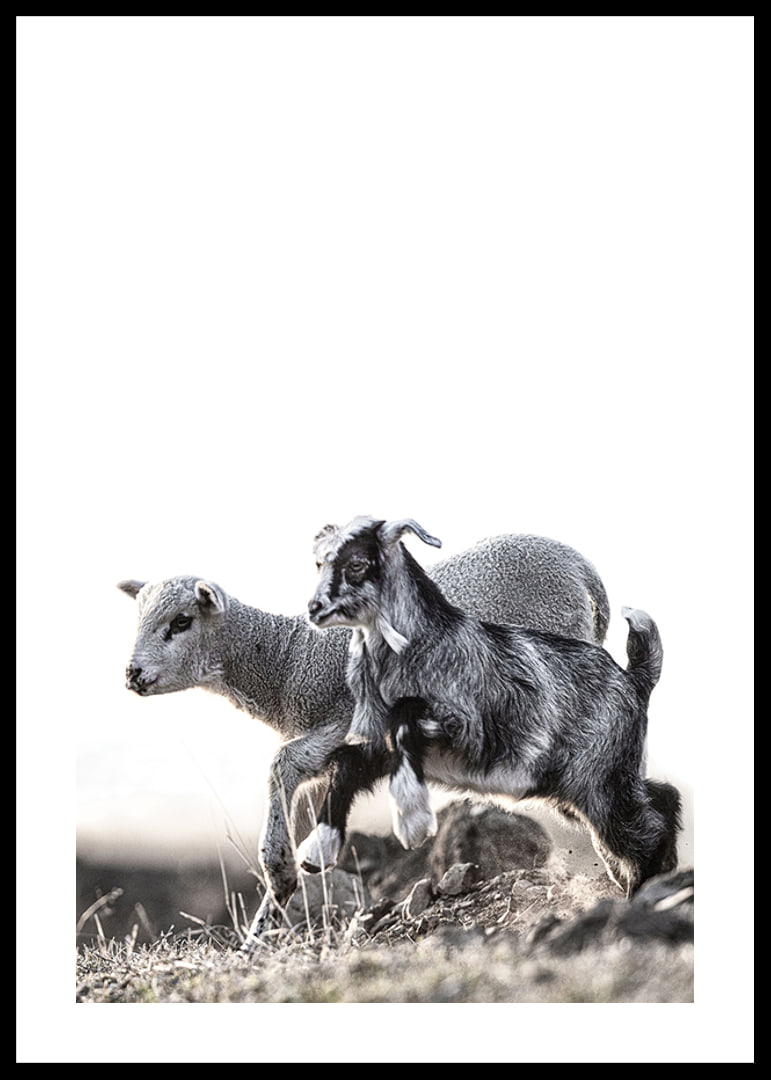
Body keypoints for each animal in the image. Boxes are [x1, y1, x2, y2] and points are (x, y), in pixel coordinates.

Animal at [118, 531, 610, 944]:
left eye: (181, 621)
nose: (132, 674)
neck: (287, 660)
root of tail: (578, 563)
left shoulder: (341, 722)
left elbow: (282, 765)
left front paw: (280, 878)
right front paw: (262, 927)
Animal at [307, 516, 682, 897]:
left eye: (357, 564)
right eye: (320, 562)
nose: (314, 610)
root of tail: (634, 678)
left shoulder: (467, 729)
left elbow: (404, 717)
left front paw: (413, 821)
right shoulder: (374, 744)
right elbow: (345, 765)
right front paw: (316, 851)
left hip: (600, 781)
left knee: (641, 829)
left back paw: (643, 889)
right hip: (588, 783)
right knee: (659, 798)